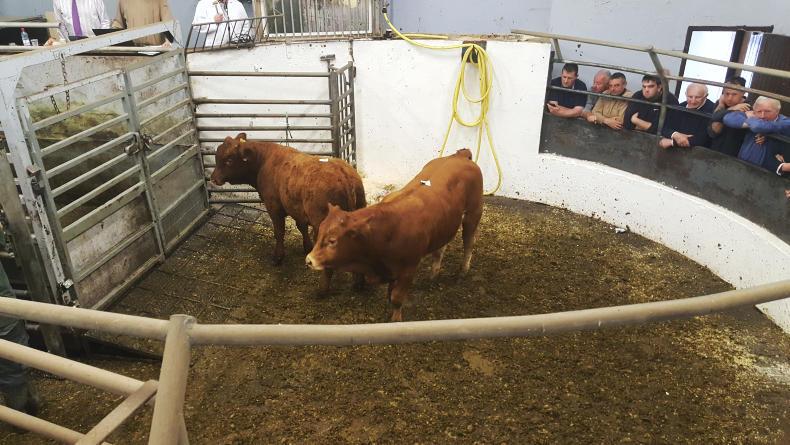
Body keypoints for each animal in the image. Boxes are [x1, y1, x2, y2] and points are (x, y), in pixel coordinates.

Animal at [210, 133, 366, 293]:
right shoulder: (296, 209)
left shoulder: (274, 208)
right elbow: (302, 227)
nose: (213, 178)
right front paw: (307, 247)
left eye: (229, 160)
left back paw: (322, 289)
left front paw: (278, 257)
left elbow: (279, 233)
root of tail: (344, 175)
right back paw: (358, 284)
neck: (264, 160)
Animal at [305, 148, 484, 321]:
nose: (309, 260)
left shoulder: (408, 270)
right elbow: (390, 294)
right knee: (440, 248)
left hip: (473, 213)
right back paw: (434, 274)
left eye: (332, 241)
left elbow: (397, 298)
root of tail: (460, 155)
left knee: (469, 242)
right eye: (318, 233)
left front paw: (396, 319)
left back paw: (463, 270)